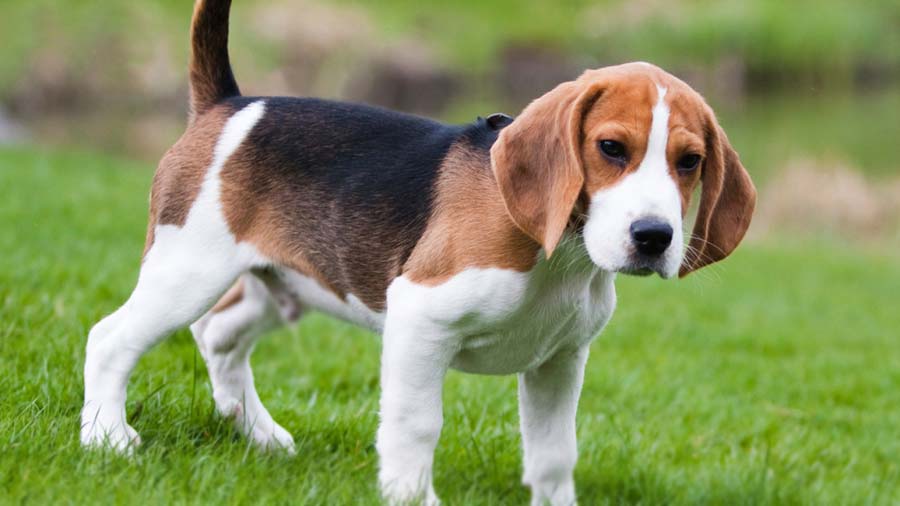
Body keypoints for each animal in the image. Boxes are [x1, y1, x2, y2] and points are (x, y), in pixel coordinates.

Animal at [81, 0, 756, 506]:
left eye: (689, 162)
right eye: (612, 148)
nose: (654, 237)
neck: (559, 254)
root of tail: (231, 105)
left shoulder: (559, 360)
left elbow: (554, 452)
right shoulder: (421, 320)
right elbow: (416, 423)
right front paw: (411, 496)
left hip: (284, 284)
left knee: (218, 337)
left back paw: (262, 436)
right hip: (188, 269)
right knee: (111, 339)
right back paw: (108, 437)